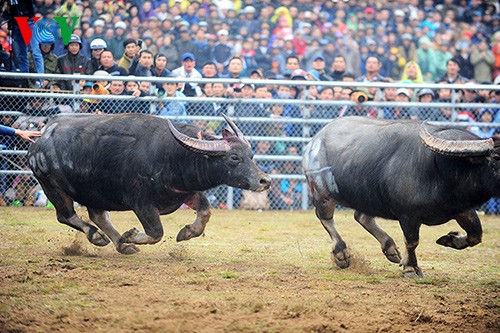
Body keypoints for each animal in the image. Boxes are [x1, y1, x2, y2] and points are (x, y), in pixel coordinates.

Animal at [27, 113, 270, 253]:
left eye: (250, 155)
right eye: (234, 158)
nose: (264, 180)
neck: (173, 155)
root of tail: (39, 140)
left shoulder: (186, 192)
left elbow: (205, 213)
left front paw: (186, 232)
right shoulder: (141, 203)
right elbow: (156, 232)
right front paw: (132, 235)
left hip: (94, 192)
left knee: (99, 216)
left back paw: (122, 245)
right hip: (53, 188)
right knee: (66, 216)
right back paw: (101, 237)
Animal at [300, 115, 496, 276]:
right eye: (495, 159)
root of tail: (314, 141)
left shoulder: (463, 210)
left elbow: (476, 235)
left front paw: (450, 239)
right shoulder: (408, 215)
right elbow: (412, 242)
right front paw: (411, 268)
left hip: (368, 196)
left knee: (362, 216)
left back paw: (391, 249)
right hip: (323, 194)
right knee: (326, 218)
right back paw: (341, 254)